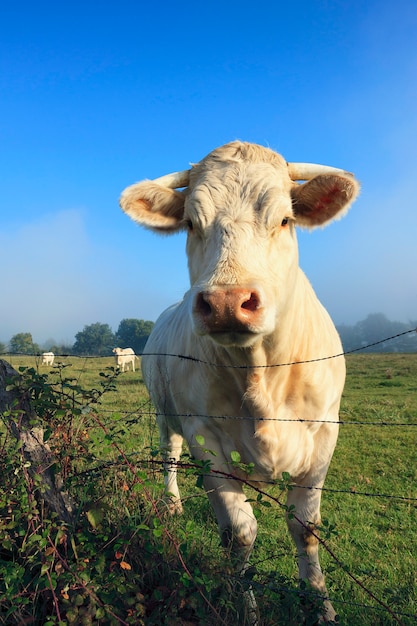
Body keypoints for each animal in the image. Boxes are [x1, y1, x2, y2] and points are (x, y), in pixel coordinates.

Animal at [118, 139, 360, 620]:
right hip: (165, 414)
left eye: (284, 219)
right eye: (191, 223)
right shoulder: (204, 435)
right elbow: (239, 534)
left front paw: (321, 607)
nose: (228, 302)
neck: (260, 376)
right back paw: (173, 502)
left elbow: (306, 529)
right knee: (169, 454)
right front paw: (247, 609)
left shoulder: (325, 432)